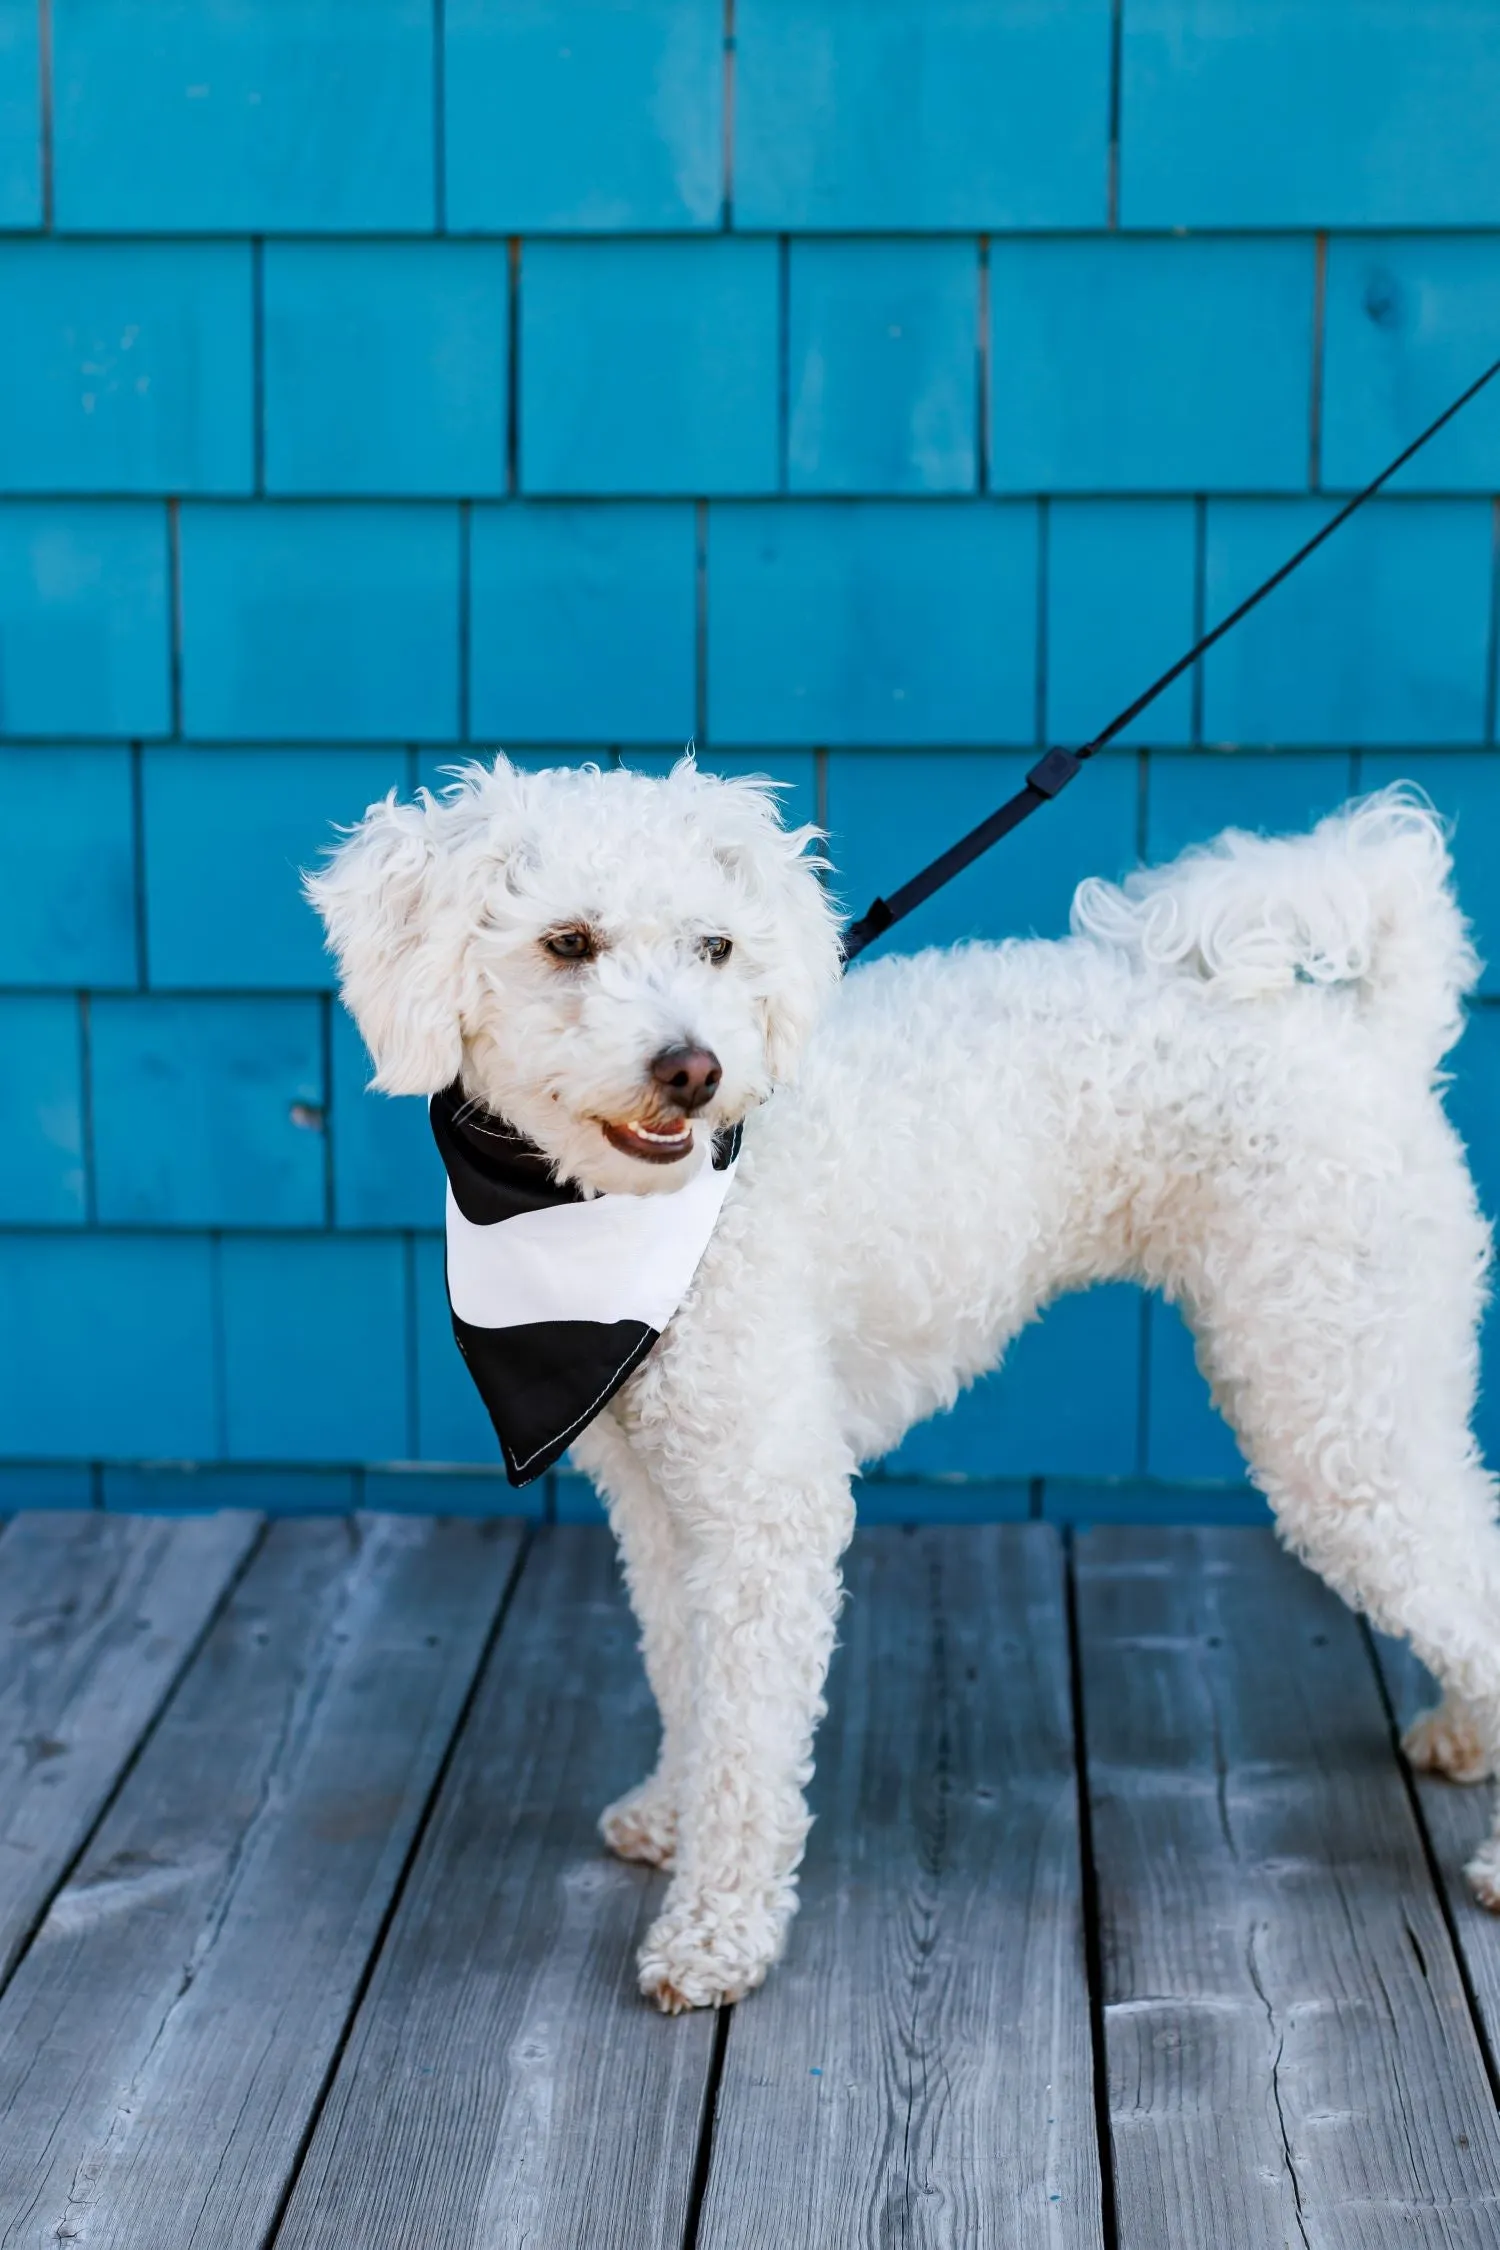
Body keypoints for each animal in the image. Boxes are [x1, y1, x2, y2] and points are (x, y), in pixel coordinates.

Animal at [310, 765, 1493, 2016]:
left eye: (716, 945)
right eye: (567, 942)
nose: (696, 1069)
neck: (604, 1218)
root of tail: (1374, 1034)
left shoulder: (767, 1506)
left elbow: (751, 1742)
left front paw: (717, 1934)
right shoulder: (660, 1498)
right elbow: (689, 1679)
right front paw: (673, 1812)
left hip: (1340, 1409)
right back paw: (1467, 1735)